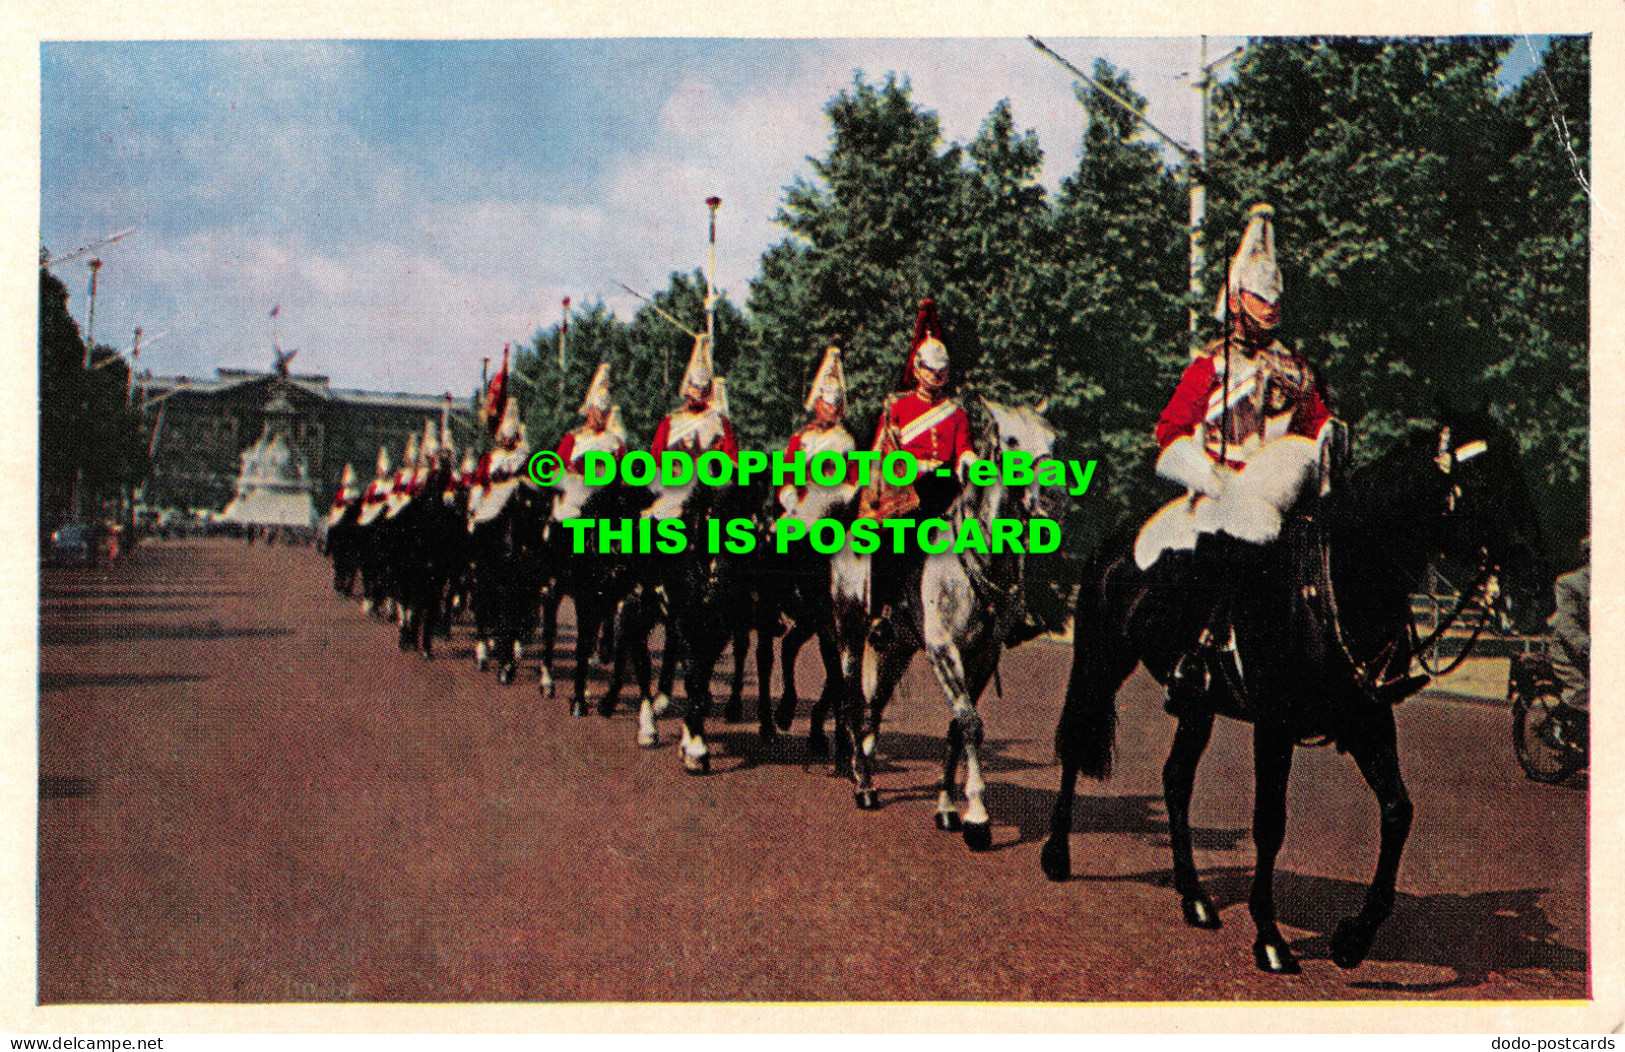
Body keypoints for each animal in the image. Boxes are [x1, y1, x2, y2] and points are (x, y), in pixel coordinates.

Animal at [1040, 416, 1547, 975]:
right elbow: (1270, 824)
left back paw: (1194, 897)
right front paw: (1270, 939)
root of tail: (1114, 542)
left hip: (1196, 704)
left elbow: (1398, 811)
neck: (1333, 587)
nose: (1536, 595)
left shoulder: (1368, 721)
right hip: (1101, 661)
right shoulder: (1274, 726)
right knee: (1076, 743)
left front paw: (1353, 940)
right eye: (1482, 488)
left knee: (1175, 779)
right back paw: (1058, 856)